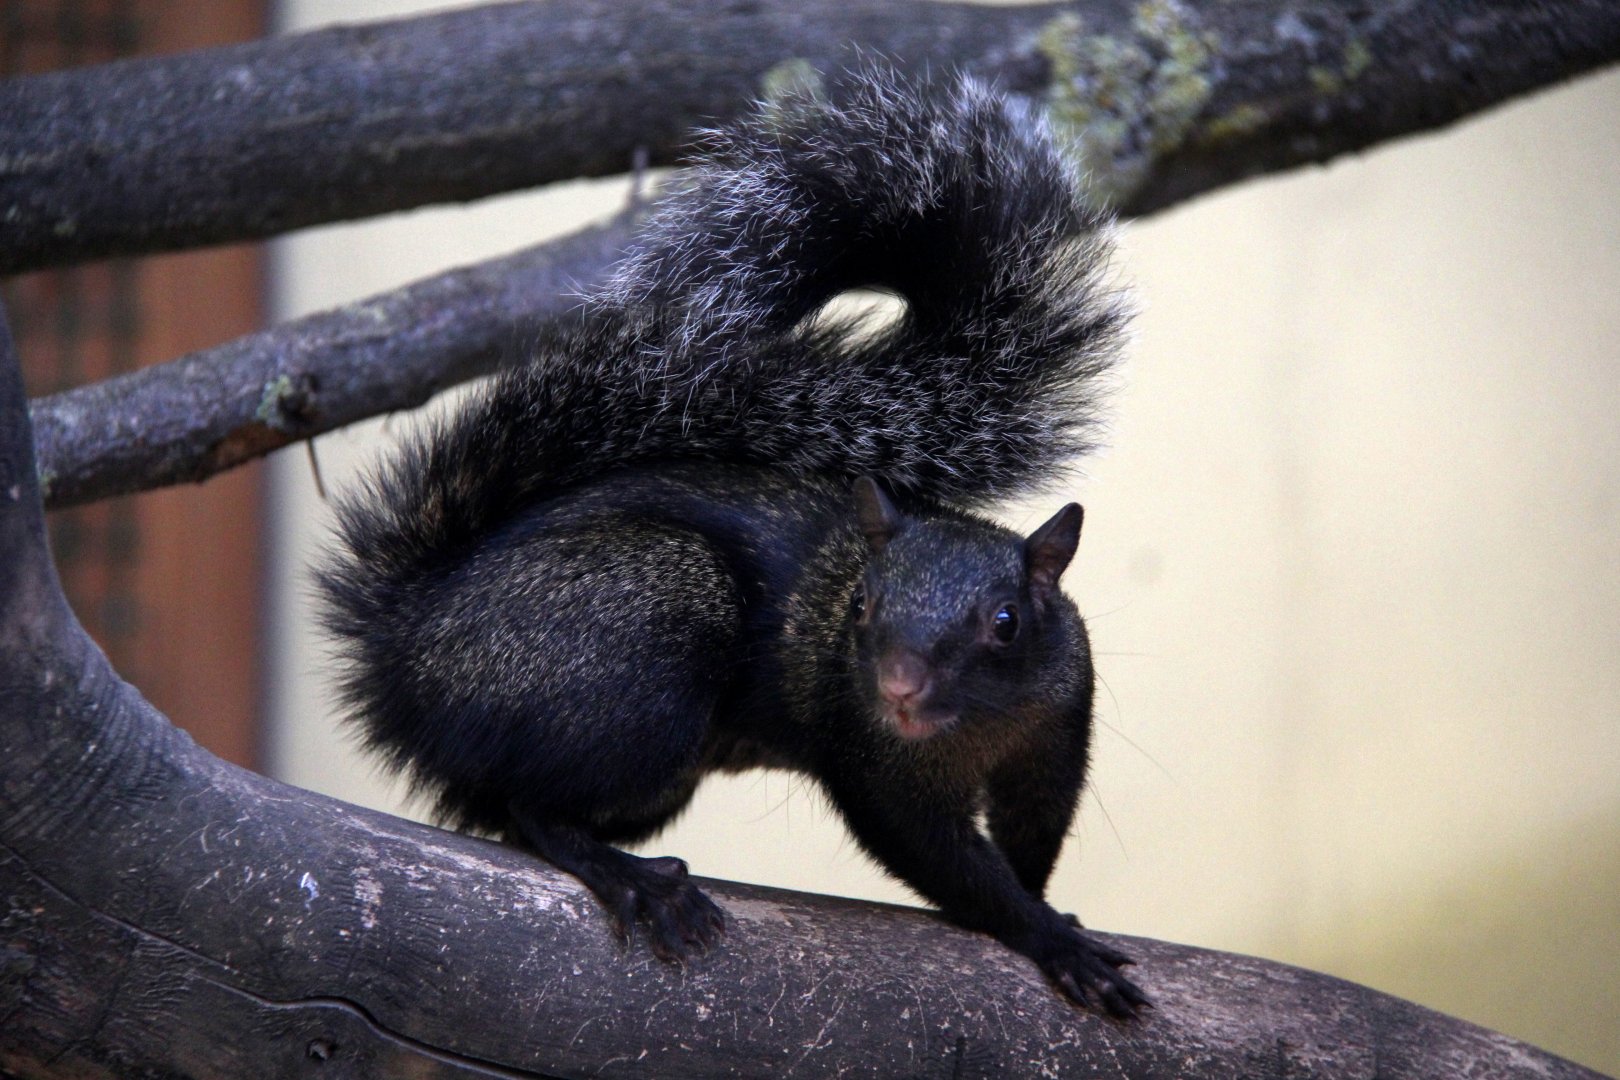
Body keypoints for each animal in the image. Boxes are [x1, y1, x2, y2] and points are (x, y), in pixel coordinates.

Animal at [319, 67, 1146, 1017]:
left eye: (1006, 623)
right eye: (862, 606)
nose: (898, 687)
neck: (971, 733)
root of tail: (403, 650)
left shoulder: (1055, 738)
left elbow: (1031, 842)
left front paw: (1051, 910)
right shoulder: (872, 767)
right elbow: (946, 865)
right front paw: (1051, 939)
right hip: (649, 627)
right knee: (525, 808)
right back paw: (630, 877)